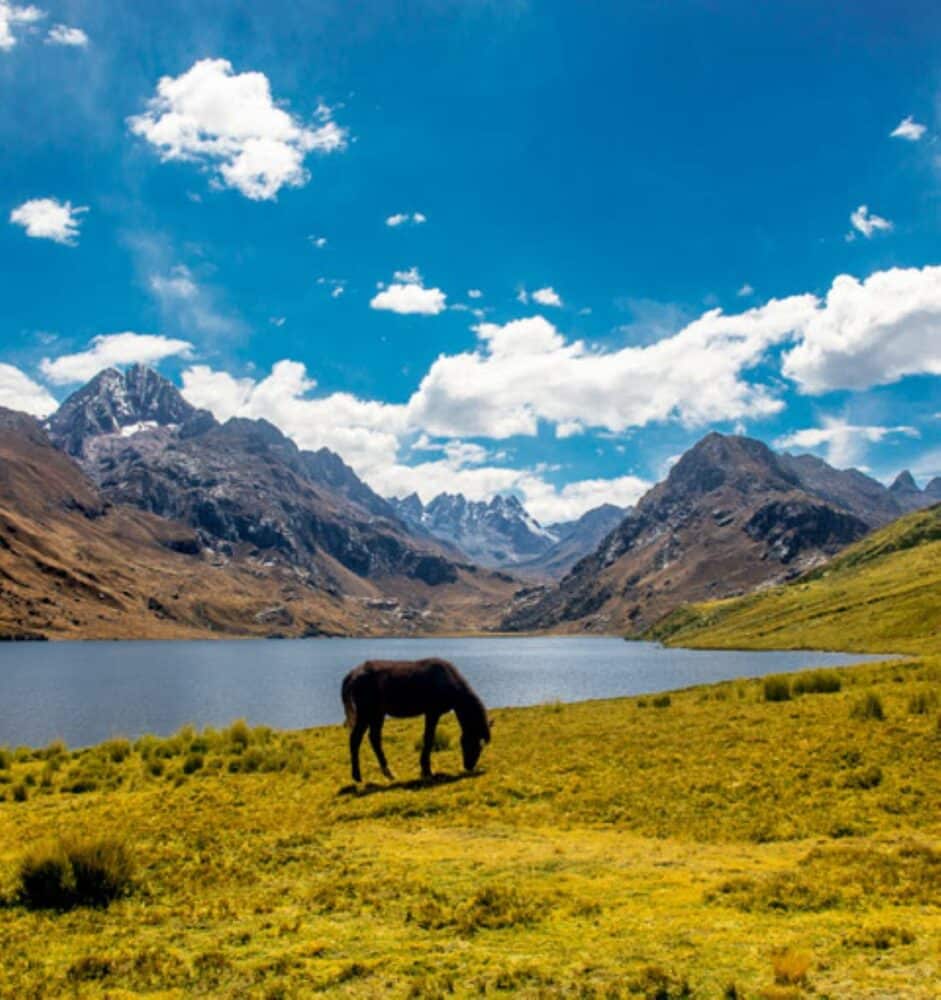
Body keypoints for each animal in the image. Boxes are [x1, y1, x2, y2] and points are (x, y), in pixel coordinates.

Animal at [344, 660, 492, 784]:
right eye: (477, 744)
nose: (469, 766)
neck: (447, 680)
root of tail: (354, 672)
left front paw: (425, 770)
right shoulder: (433, 712)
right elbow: (429, 738)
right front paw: (427, 771)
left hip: (377, 714)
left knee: (374, 738)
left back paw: (388, 773)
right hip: (366, 713)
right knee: (355, 739)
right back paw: (357, 777)